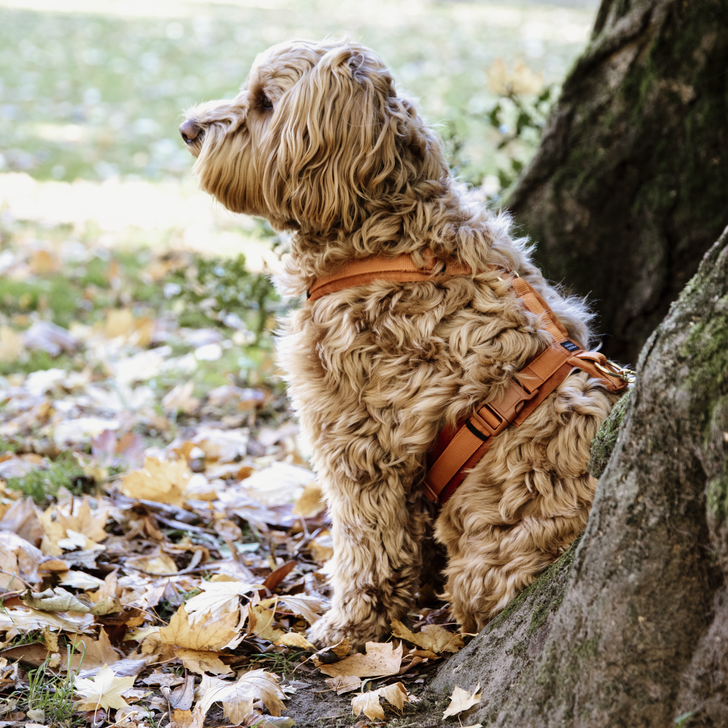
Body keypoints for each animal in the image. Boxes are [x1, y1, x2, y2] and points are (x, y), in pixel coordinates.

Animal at [181, 37, 624, 644]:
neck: (389, 240)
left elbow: (368, 545)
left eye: (265, 102)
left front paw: (348, 625)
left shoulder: (356, 439)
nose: (186, 128)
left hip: (483, 566)